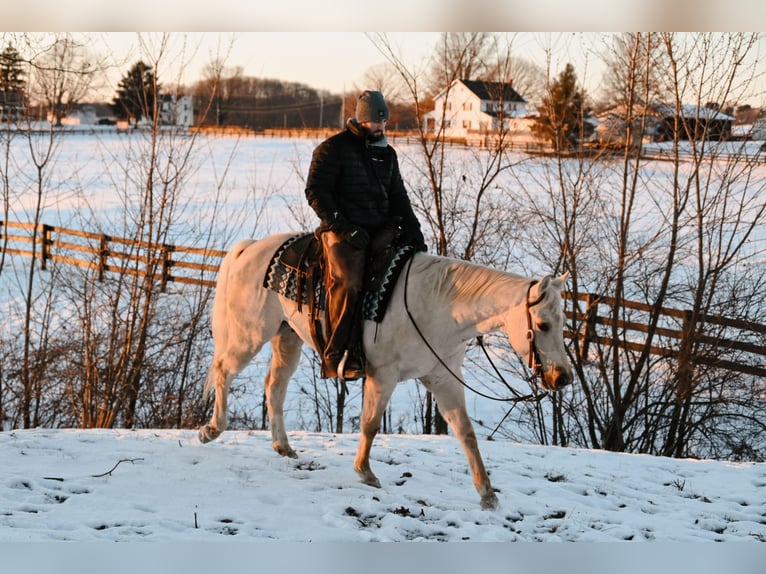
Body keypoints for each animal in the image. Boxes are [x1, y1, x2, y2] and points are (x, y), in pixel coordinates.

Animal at [201, 232, 572, 510]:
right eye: (542, 324)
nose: (563, 377)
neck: (438, 307)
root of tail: (250, 248)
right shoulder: (384, 375)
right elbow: (370, 423)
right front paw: (365, 473)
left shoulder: (444, 379)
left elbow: (466, 432)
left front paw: (487, 494)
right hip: (250, 334)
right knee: (223, 371)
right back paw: (211, 430)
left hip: (287, 337)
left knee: (274, 386)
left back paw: (283, 446)